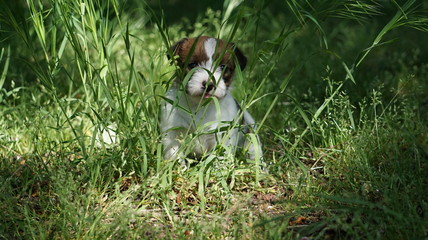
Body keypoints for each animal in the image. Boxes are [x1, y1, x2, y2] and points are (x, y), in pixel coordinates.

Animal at [160, 36, 260, 165]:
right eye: (192, 65)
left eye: (223, 67)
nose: (209, 84)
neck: (201, 106)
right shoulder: (173, 132)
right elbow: (174, 155)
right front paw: (177, 169)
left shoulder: (222, 136)